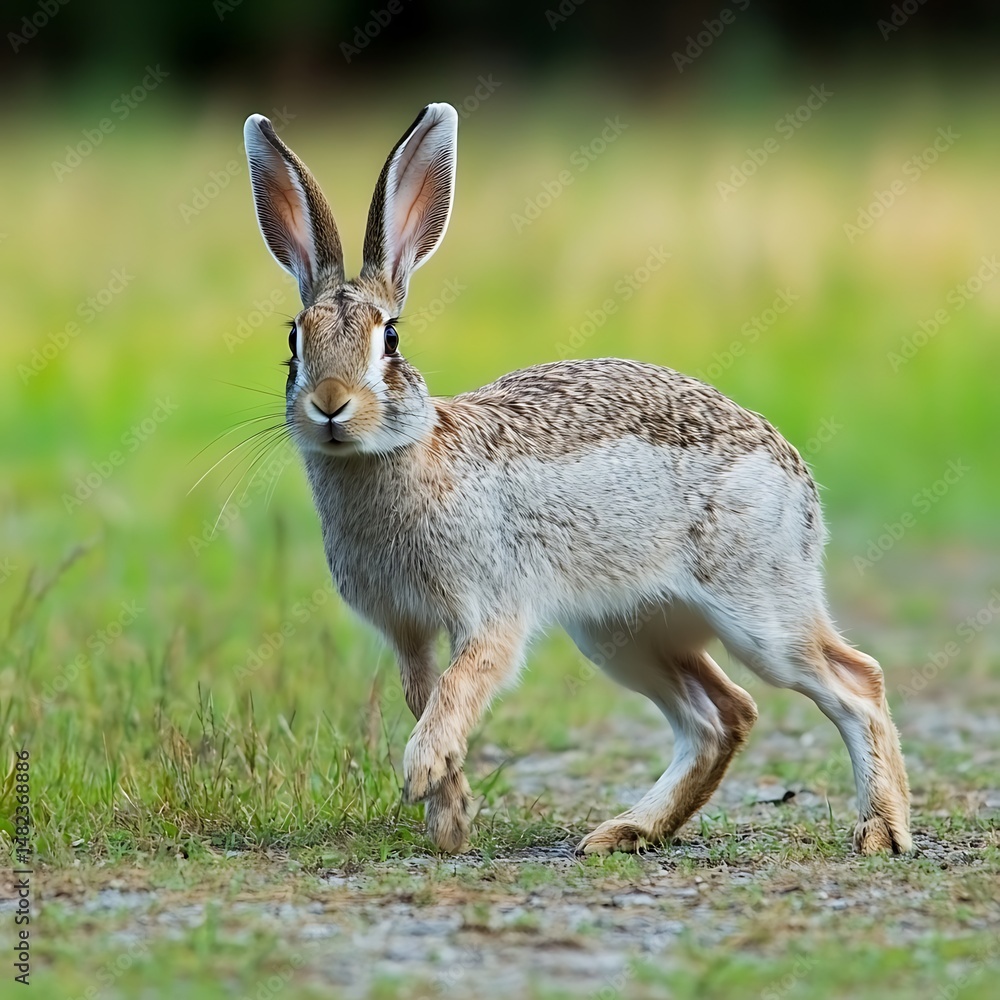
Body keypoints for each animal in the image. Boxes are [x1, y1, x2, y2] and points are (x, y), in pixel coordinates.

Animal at [242, 102, 911, 856]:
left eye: (390, 339)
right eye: (294, 339)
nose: (330, 403)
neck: (399, 456)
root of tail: (799, 482)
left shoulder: (491, 608)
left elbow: (460, 686)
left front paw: (422, 772)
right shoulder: (405, 627)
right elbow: (424, 695)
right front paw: (450, 814)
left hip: (757, 609)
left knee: (854, 681)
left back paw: (882, 832)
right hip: (624, 630)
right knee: (723, 713)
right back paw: (628, 831)